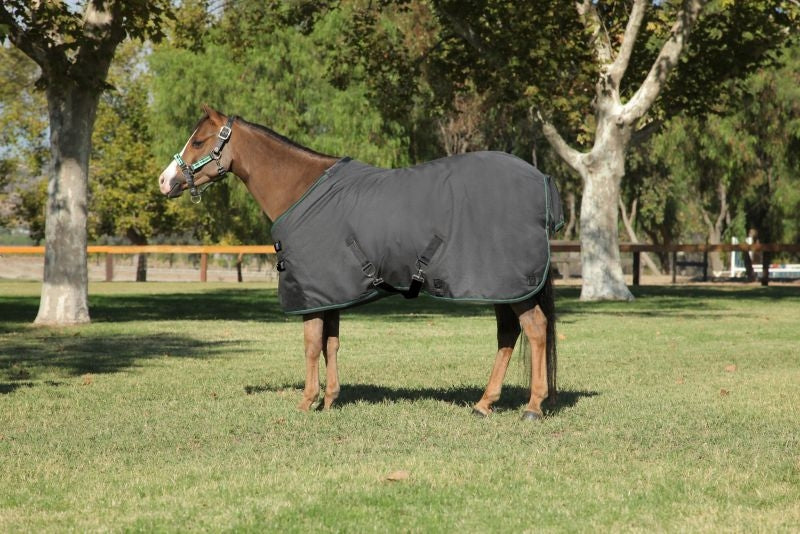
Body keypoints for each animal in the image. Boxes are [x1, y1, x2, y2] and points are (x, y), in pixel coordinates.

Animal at [158, 105, 561, 420]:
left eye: (198, 142)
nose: (164, 181)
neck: (301, 190)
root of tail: (541, 180)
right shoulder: (330, 291)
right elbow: (331, 343)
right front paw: (330, 400)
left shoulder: (311, 292)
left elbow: (311, 344)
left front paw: (306, 402)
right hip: (502, 287)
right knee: (508, 334)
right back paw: (484, 404)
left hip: (511, 284)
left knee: (536, 329)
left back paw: (533, 407)